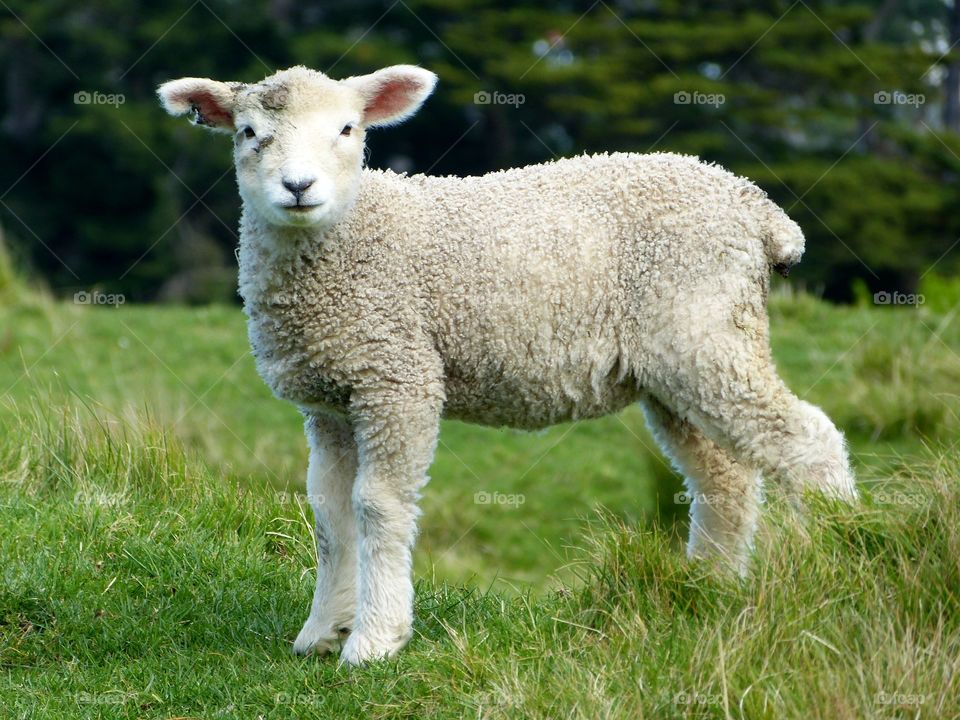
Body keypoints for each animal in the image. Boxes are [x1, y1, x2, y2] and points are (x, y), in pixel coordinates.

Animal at [157, 64, 857, 666]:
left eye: (348, 129)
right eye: (250, 133)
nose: (298, 187)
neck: (353, 238)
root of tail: (758, 209)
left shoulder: (398, 376)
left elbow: (377, 504)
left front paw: (375, 639)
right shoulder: (332, 396)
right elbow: (330, 513)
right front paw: (321, 633)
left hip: (705, 332)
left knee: (807, 439)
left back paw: (843, 560)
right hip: (677, 363)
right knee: (724, 478)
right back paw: (708, 590)